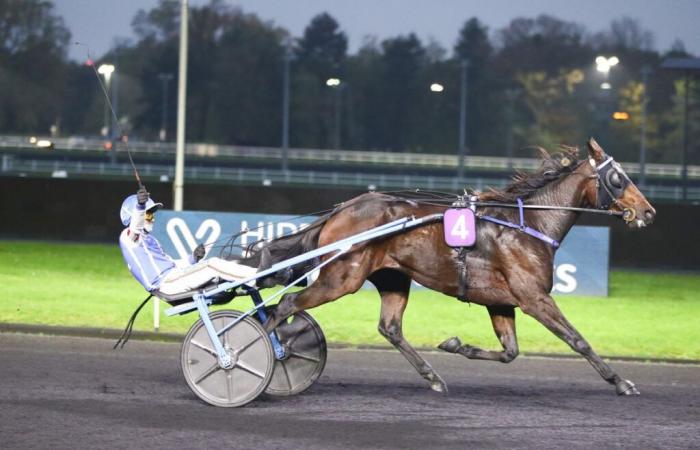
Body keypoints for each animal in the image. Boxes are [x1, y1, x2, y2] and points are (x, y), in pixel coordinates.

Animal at [252, 138, 656, 398]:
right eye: (618, 178)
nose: (649, 211)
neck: (529, 225)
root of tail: (341, 210)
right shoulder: (534, 298)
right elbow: (577, 339)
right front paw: (621, 382)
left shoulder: (501, 301)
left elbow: (510, 352)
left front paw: (456, 344)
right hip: (342, 277)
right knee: (286, 305)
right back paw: (266, 353)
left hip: (392, 277)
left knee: (390, 328)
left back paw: (432, 377)